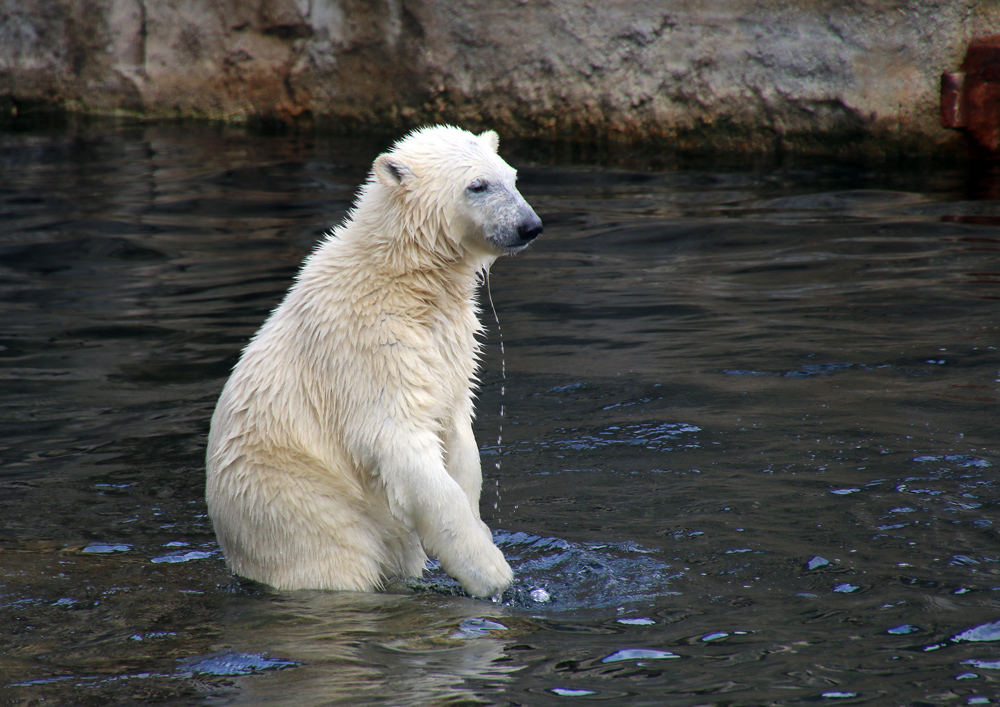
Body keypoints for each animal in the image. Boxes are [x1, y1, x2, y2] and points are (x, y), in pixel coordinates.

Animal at [204, 126, 544, 596]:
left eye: (512, 177)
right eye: (478, 185)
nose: (530, 226)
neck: (402, 273)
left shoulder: (450, 341)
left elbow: (457, 432)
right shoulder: (370, 344)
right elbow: (399, 441)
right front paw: (492, 573)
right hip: (295, 501)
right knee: (335, 558)